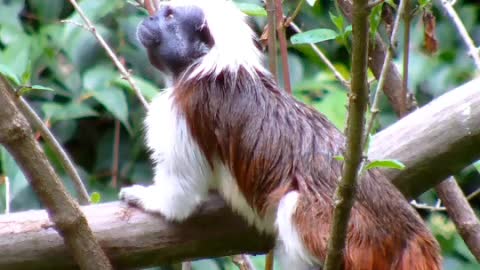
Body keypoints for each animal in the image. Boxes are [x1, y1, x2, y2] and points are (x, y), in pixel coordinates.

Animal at [118, 1, 440, 268]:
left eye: (169, 16)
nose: (149, 19)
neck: (206, 67)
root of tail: (408, 232)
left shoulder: (180, 110)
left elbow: (181, 196)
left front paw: (150, 200)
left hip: (356, 242)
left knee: (292, 205)